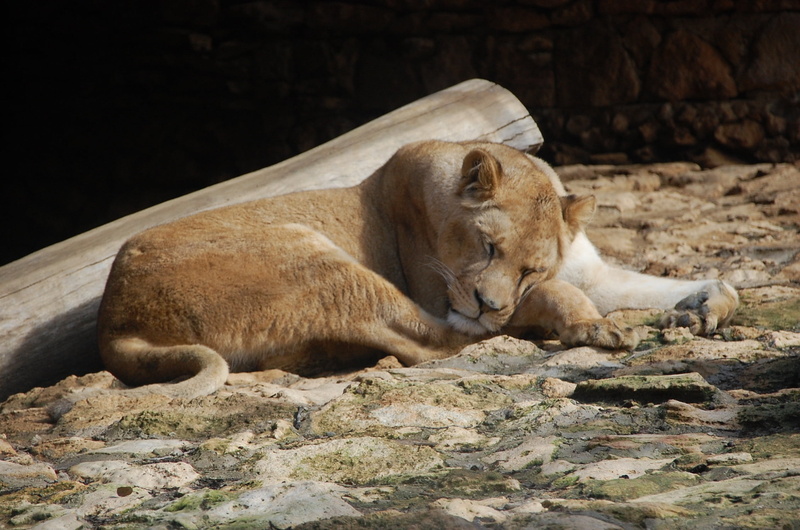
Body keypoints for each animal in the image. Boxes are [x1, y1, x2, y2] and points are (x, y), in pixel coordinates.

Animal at [96, 140, 738, 399]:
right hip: (306, 247)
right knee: (436, 344)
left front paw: (707, 306)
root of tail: (114, 319)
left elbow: (667, 285)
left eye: (529, 267)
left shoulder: (588, 272)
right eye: (487, 246)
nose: (490, 301)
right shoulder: (443, 293)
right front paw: (587, 322)